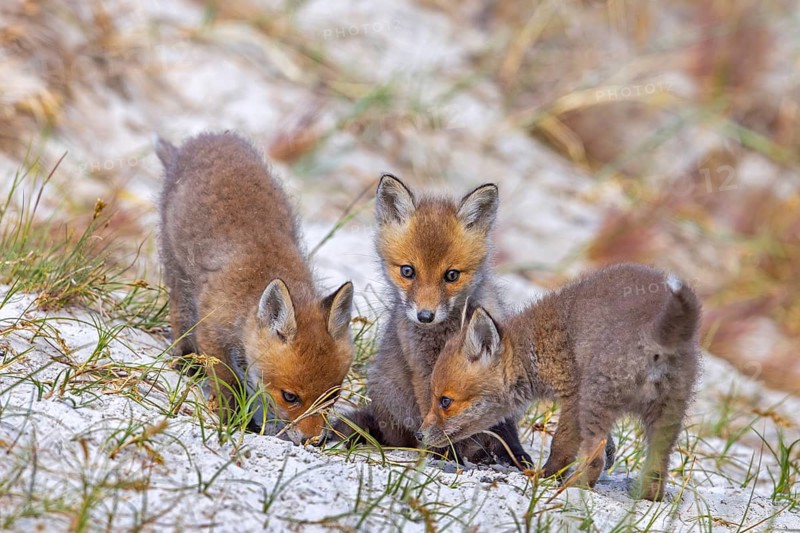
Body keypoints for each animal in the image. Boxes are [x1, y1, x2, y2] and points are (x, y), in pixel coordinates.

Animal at [156, 132, 355, 445]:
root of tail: (203, 138)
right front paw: (232, 419)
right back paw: (186, 361)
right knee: (178, 312)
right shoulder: (212, 333)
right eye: (290, 397)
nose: (312, 441)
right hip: (177, 270)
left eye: (332, 397)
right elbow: (227, 384)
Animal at [337, 174, 533, 467]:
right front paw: (444, 454)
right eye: (408, 271)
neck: (446, 334)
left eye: (451, 275)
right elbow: (435, 415)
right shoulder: (423, 369)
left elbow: (503, 423)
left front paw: (514, 454)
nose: (425, 316)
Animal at [418, 263, 701, 500]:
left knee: (594, 460)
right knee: (657, 470)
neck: (534, 347)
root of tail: (654, 335)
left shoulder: (573, 398)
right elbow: (606, 445)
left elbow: (561, 445)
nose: (419, 435)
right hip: (667, 417)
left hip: (596, 401)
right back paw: (646, 499)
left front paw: (545, 476)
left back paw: (573, 488)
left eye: (445, 401)